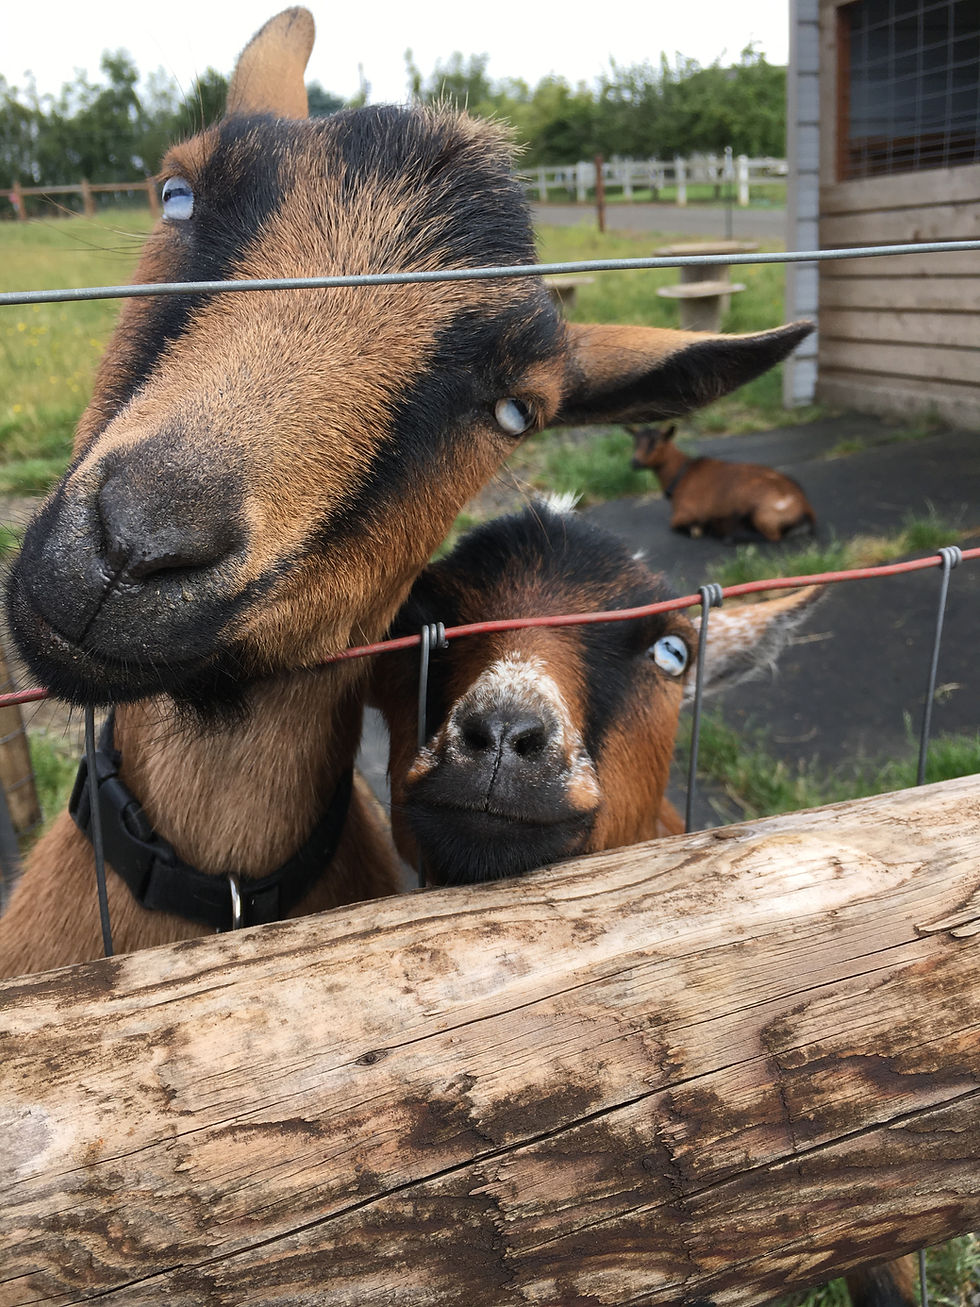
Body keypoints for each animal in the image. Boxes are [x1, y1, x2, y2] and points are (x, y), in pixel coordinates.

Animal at [630, 422, 817, 542]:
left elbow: (677, 525)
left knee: (772, 536)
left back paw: (728, 534)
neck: (681, 475)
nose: (634, 462)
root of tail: (806, 511)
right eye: (636, 442)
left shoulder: (687, 512)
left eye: (656, 443)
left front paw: (699, 529)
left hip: (761, 509)